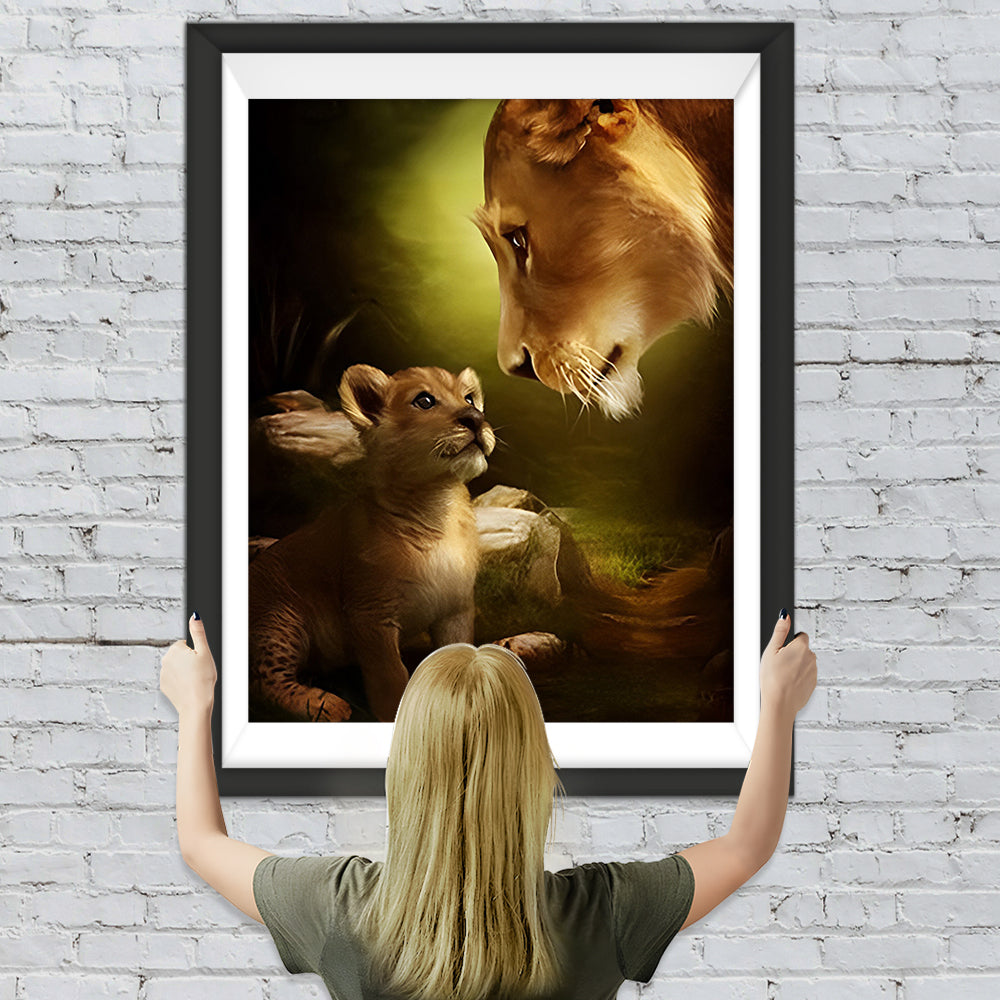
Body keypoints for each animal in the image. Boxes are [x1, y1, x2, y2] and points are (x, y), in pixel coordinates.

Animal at [248, 364, 495, 722]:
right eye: (424, 401)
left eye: (469, 399)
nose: (476, 419)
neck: (436, 508)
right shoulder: (370, 615)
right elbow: (390, 675)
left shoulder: (457, 608)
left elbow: (458, 654)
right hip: (278, 619)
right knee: (264, 682)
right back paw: (327, 705)